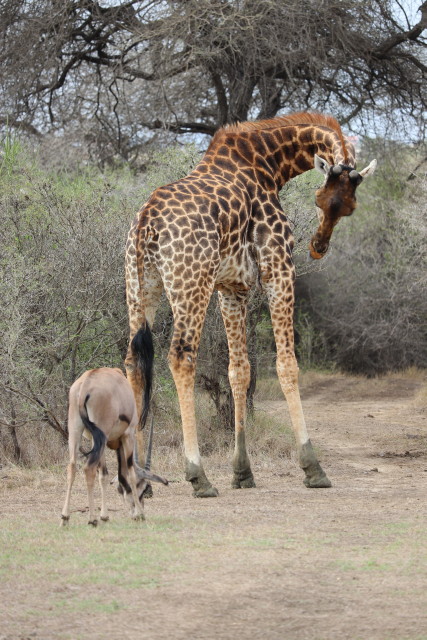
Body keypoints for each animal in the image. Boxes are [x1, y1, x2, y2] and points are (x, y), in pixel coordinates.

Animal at [124, 112, 376, 497]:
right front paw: (312, 468)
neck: (269, 162)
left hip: (141, 289)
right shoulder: (278, 268)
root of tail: (147, 221)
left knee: (134, 362)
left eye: (348, 208)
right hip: (190, 284)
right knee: (180, 357)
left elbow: (238, 370)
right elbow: (286, 365)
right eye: (319, 199)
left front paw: (242, 472)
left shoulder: (232, 287)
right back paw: (198, 476)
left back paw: (141, 481)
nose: (318, 246)